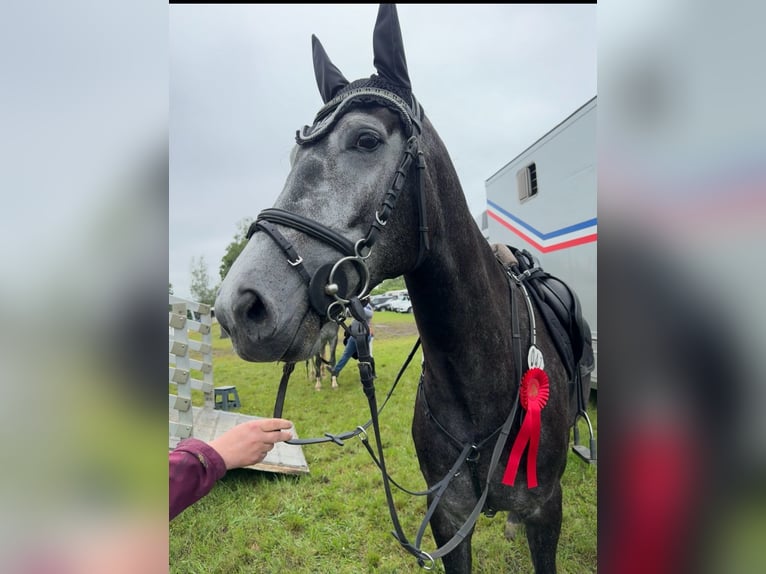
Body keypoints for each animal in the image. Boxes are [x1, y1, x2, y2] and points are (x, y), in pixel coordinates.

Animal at [216, 3, 592, 572]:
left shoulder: (547, 511)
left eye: (367, 139)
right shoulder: (448, 519)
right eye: (292, 158)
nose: (240, 307)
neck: (479, 381)